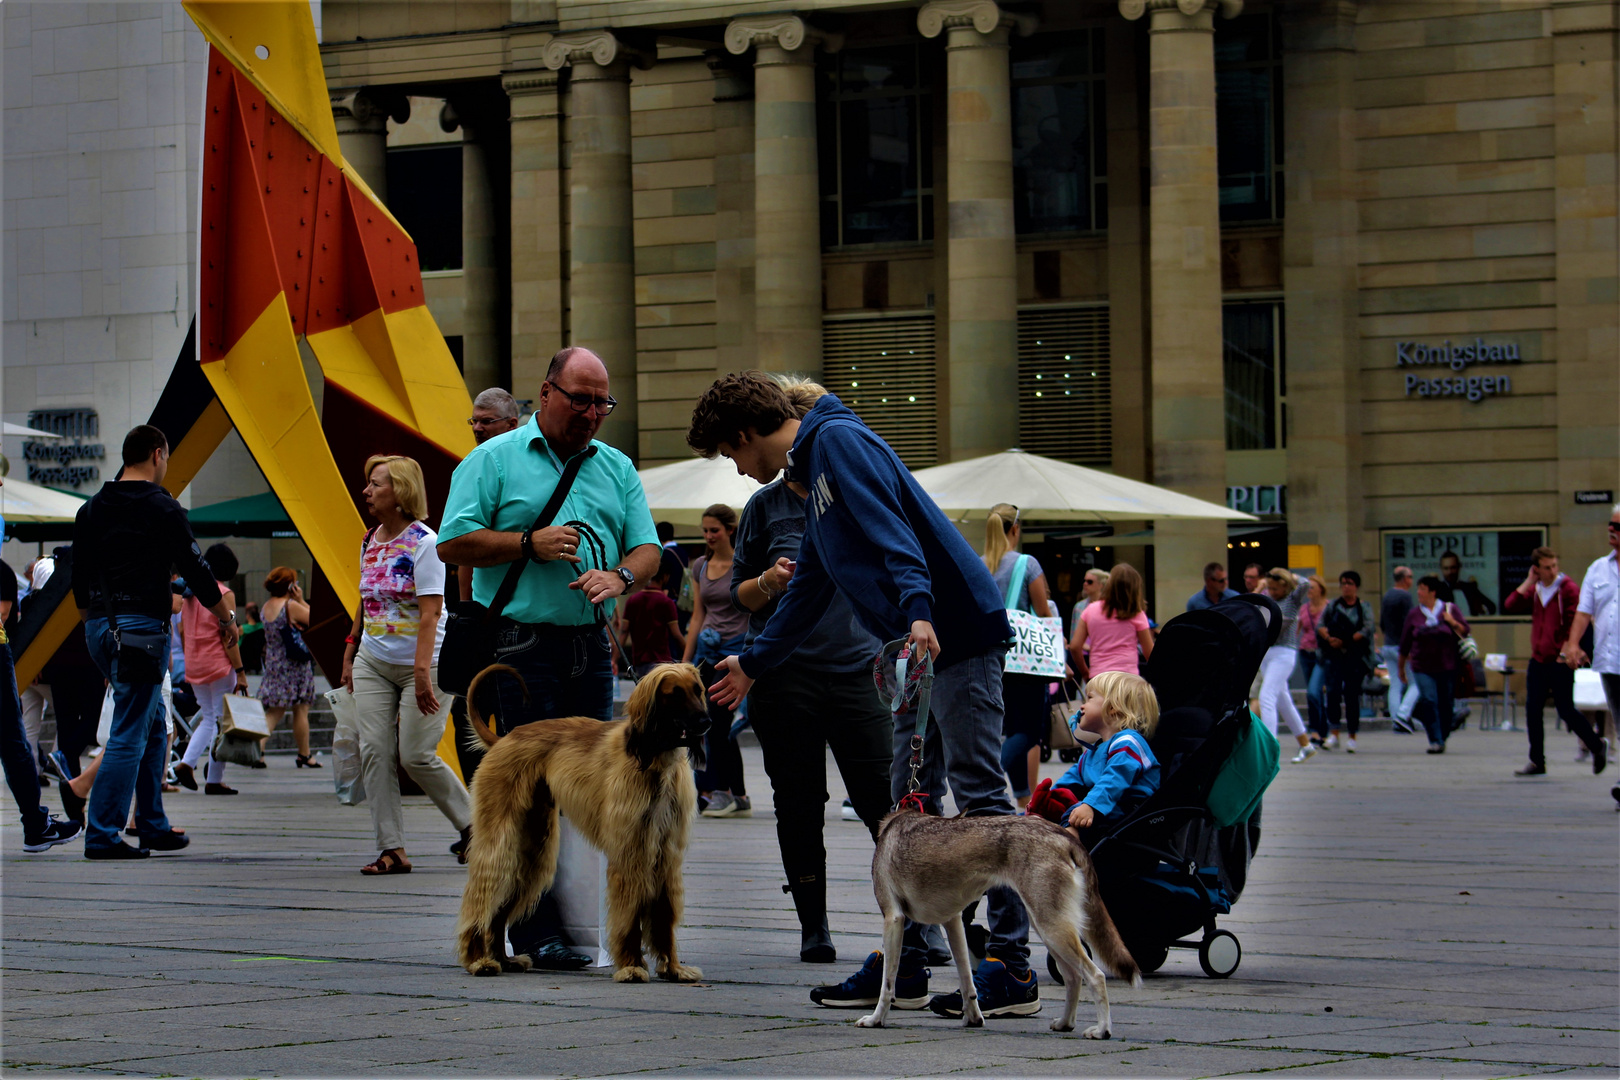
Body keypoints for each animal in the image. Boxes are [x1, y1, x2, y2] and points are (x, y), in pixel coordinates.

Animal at [861, 809, 1140, 1036]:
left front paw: (876, 1020)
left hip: (1052, 928)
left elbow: (887, 984)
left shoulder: (893, 919)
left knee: (1095, 976)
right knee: (1073, 978)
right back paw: (1064, 1024)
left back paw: (1102, 1030)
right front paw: (973, 1019)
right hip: (1047, 928)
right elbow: (967, 981)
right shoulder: (953, 922)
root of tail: (1062, 834)